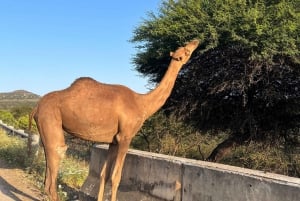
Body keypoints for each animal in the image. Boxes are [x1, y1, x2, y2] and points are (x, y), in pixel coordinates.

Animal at [31, 39, 199, 201]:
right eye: (186, 51)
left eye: (184, 47)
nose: (196, 41)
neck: (142, 104)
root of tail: (36, 108)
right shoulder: (125, 136)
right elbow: (116, 177)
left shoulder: (113, 141)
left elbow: (104, 175)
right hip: (49, 119)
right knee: (56, 158)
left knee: (47, 172)